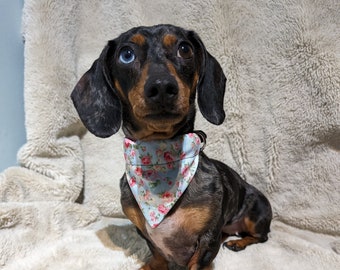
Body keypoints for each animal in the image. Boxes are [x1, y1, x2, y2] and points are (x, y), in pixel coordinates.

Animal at [71, 24, 270, 268]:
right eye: (126, 54)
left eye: (184, 49)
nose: (162, 87)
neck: (160, 161)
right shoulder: (144, 232)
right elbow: (156, 253)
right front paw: (150, 266)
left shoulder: (207, 240)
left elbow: (198, 261)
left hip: (255, 214)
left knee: (260, 236)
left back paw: (238, 242)